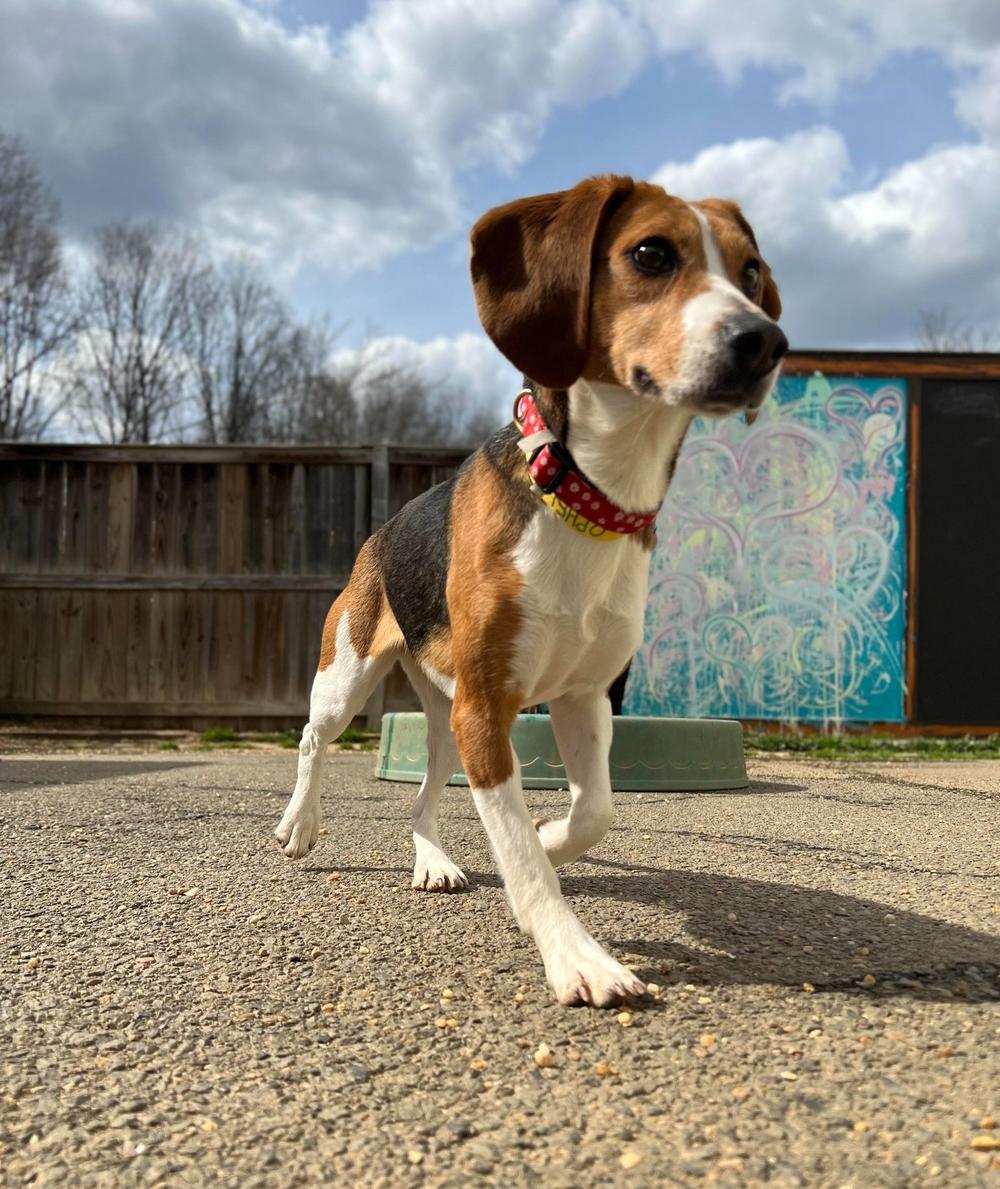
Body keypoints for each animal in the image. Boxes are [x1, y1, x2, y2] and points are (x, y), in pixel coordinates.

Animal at [277, 175, 784, 1008]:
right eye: (651, 252)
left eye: (750, 271)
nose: (766, 340)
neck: (585, 494)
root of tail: (384, 527)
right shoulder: (488, 710)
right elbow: (520, 855)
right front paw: (577, 954)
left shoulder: (580, 697)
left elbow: (593, 814)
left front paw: (551, 835)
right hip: (350, 675)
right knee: (314, 741)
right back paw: (300, 824)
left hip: (445, 720)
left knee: (423, 796)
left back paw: (432, 859)